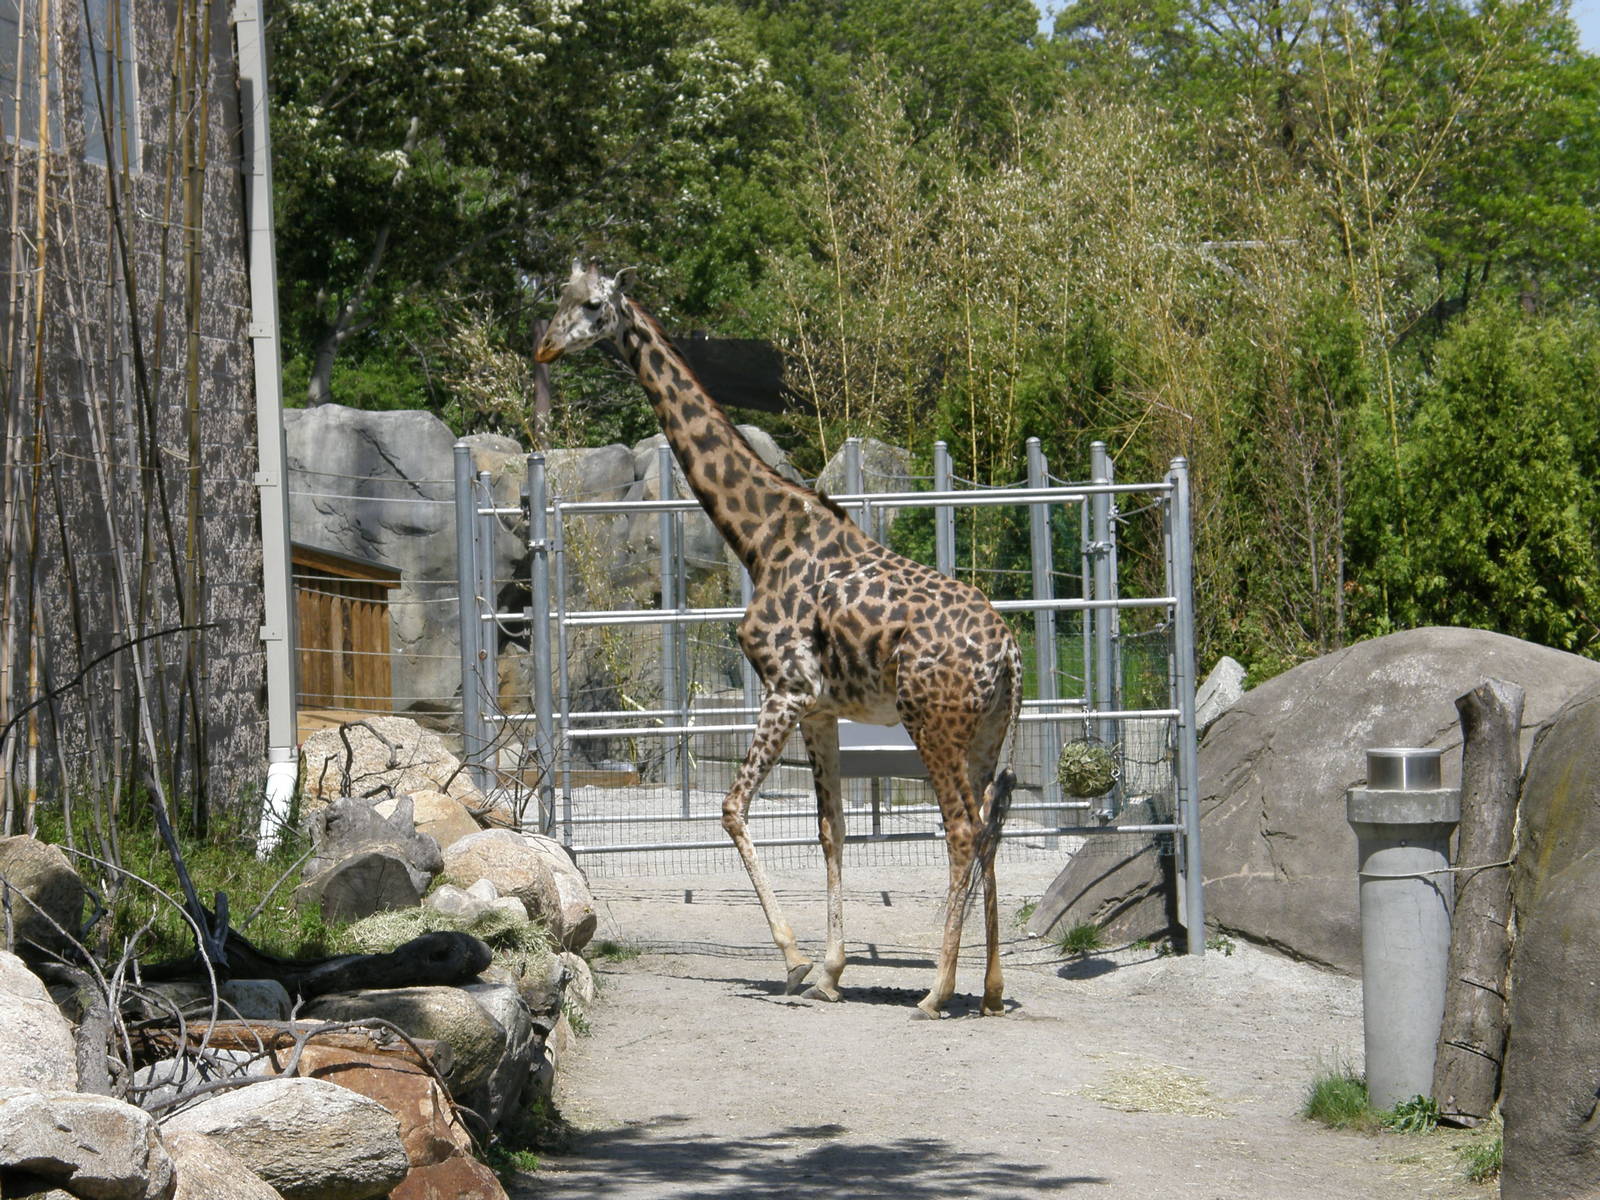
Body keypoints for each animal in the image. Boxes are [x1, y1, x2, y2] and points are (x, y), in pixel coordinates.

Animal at [535, 261, 1023, 1018]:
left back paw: (936, 991)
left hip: (932, 721)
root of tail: (1008, 653)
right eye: (555, 298)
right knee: (992, 828)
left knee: (963, 830)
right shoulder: (820, 707)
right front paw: (830, 972)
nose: (545, 348)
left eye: (591, 306)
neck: (760, 536)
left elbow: (734, 809)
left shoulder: (785, 688)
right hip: (986, 731)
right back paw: (992, 989)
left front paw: (794, 963)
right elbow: (831, 830)